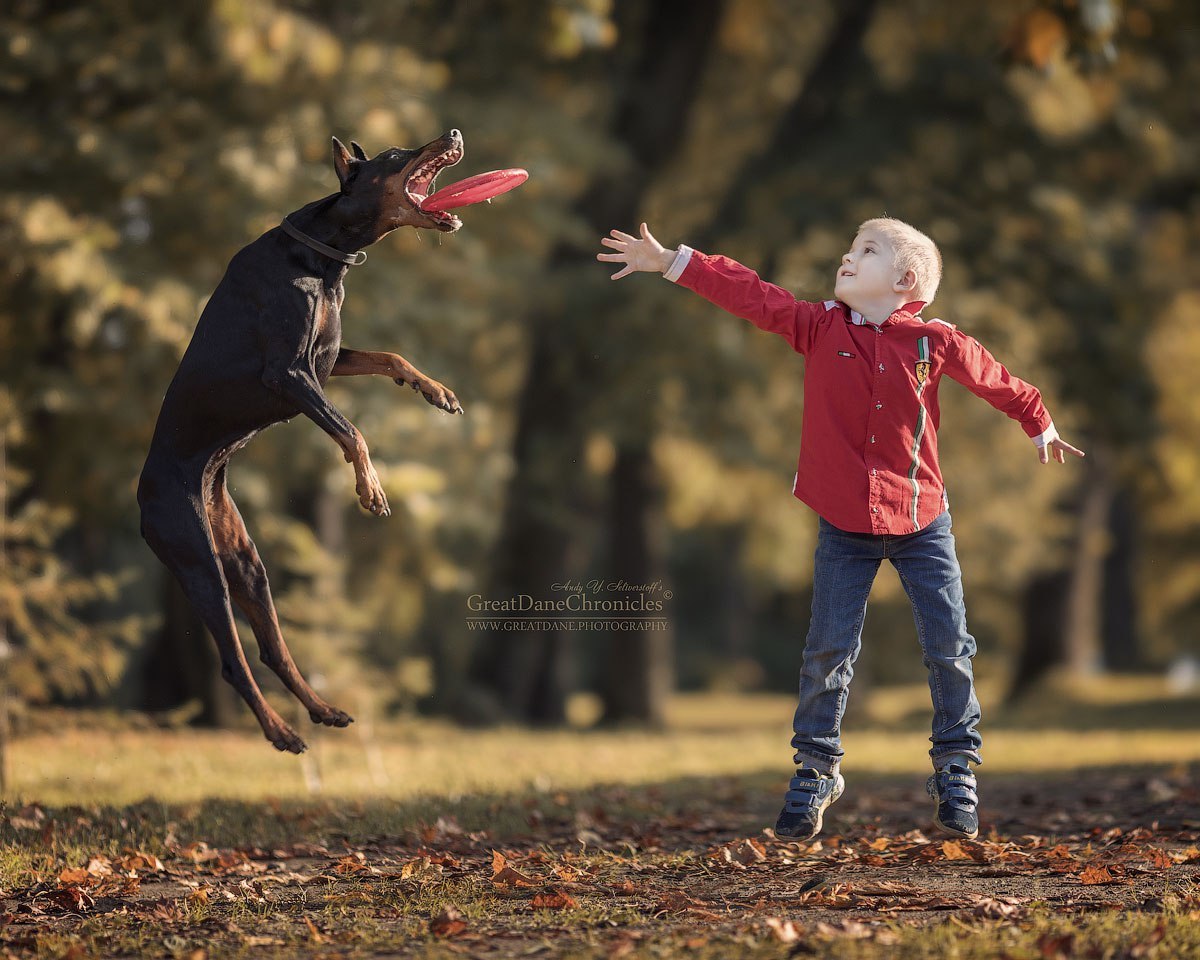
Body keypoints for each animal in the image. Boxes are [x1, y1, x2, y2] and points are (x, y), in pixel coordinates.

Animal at [136, 131, 463, 753]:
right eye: (395, 154)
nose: (454, 135)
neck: (323, 257)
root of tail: (140, 501)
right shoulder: (289, 375)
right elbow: (351, 430)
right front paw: (371, 489)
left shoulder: (325, 364)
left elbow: (389, 356)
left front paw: (435, 390)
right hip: (198, 562)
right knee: (234, 661)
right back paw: (281, 731)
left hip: (243, 559)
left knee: (272, 648)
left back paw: (323, 711)